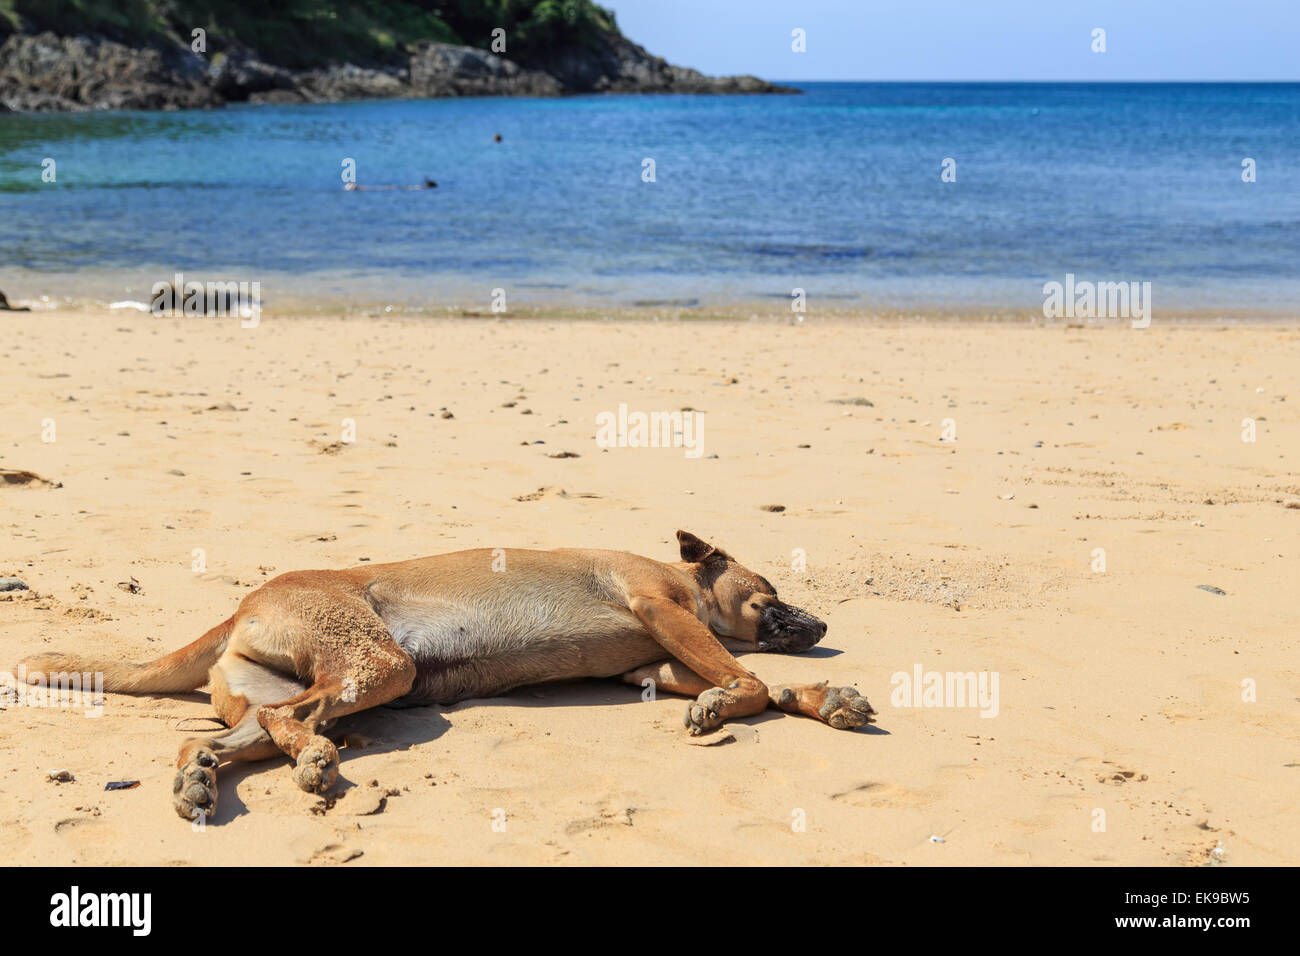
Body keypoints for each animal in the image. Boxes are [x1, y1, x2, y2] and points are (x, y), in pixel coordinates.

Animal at [15, 530, 873, 822]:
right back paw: (316, 760)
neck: (682, 581)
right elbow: (748, 678)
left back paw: (201, 777)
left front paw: (816, 697)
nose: (826, 628)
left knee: (231, 735)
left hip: (286, 693)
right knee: (299, 722)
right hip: (379, 664)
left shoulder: (656, 660)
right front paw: (739, 701)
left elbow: (748, 682)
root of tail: (243, 606)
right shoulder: (662, 611)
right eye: (770, 590)